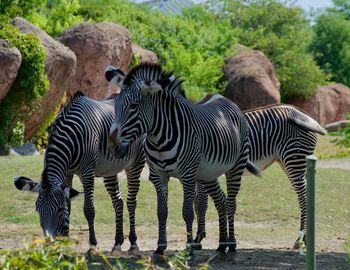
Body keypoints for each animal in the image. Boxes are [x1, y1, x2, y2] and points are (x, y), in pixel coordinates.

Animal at [13, 92, 145, 254]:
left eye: (59, 210)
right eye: (37, 210)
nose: (50, 245)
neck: (68, 133)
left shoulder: (87, 172)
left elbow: (88, 209)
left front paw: (92, 246)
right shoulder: (67, 173)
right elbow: (69, 206)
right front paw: (64, 242)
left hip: (136, 163)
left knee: (131, 201)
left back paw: (133, 243)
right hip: (109, 169)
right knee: (118, 201)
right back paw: (117, 244)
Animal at [108, 63, 262, 260]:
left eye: (134, 106)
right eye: (116, 106)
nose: (113, 146)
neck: (158, 138)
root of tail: (224, 99)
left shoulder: (187, 176)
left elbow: (188, 212)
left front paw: (189, 249)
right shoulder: (158, 176)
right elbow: (162, 212)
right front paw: (160, 248)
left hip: (236, 167)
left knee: (231, 203)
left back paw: (232, 246)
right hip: (208, 174)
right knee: (221, 200)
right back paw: (222, 245)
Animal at [194, 103, 328, 249]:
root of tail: (304, 114)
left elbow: (201, 203)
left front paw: (198, 238)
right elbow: (198, 203)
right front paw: (199, 237)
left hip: (294, 159)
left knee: (303, 197)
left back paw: (301, 238)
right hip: (288, 162)